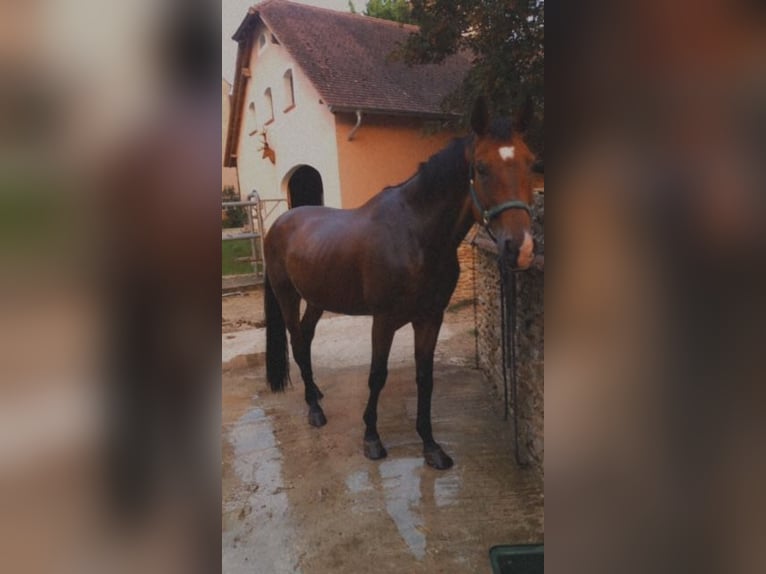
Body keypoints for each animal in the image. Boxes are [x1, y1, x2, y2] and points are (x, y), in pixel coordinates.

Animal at [260, 97, 536, 470]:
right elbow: (377, 375)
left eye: (530, 162)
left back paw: (315, 392)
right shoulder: (384, 320)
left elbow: (425, 378)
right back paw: (314, 410)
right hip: (287, 296)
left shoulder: (430, 318)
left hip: (317, 299)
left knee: (306, 337)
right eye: (481, 168)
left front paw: (431, 445)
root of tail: (278, 224)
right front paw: (372, 439)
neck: (415, 237)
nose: (521, 248)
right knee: (298, 342)